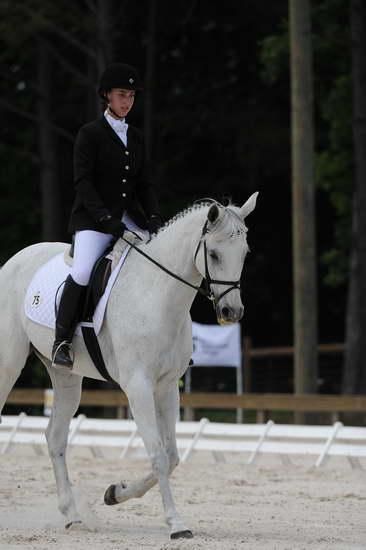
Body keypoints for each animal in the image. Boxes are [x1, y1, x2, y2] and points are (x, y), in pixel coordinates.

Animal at [0, 195, 258, 544]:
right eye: (214, 254)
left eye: (244, 252)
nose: (232, 312)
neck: (157, 295)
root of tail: (14, 260)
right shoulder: (138, 386)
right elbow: (159, 456)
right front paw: (176, 524)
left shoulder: (166, 386)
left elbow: (172, 455)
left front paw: (115, 492)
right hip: (8, 363)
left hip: (66, 376)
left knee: (55, 437)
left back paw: (72, 515)